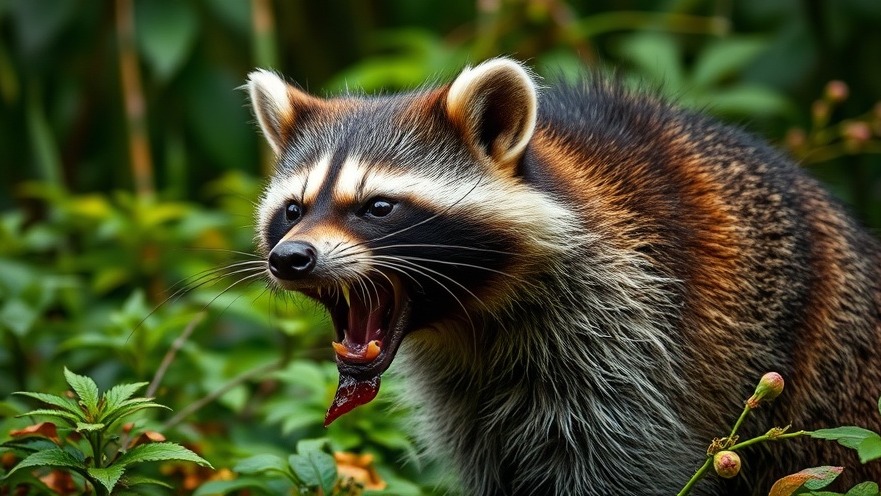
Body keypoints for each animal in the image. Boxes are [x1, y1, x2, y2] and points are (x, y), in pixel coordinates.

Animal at [246, 58, 881, 495]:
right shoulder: (460, 394)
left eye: (377, 207)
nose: (291, 257)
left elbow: (617, 463)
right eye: (293, 210)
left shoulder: (629, 330)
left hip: (826, 377)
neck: (472, 316)